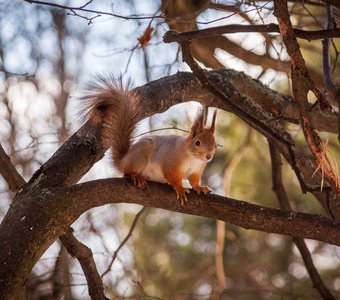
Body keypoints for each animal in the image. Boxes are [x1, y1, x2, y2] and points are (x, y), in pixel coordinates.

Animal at [79, 76, 216, 205]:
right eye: (198, 142)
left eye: (215, 145)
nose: (208, 156)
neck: (193, 158)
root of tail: (123, 160)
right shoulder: (170, 164)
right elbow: (173, 178)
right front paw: (180, 189)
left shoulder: (196, 172)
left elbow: (194, 182)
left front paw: (200, 188)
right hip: (141, 153)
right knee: (127, 172)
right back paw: (137, 177)